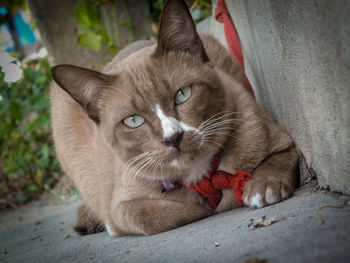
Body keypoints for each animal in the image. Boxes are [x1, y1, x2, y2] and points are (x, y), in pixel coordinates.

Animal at [50, 0, 298, 237]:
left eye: (182, 94)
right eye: (133, 121)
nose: (173, 138)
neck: (200, 175)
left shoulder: (278, 140)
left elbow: (277, 160)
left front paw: (261, 187)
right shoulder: (121, 207)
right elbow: (157, 216)